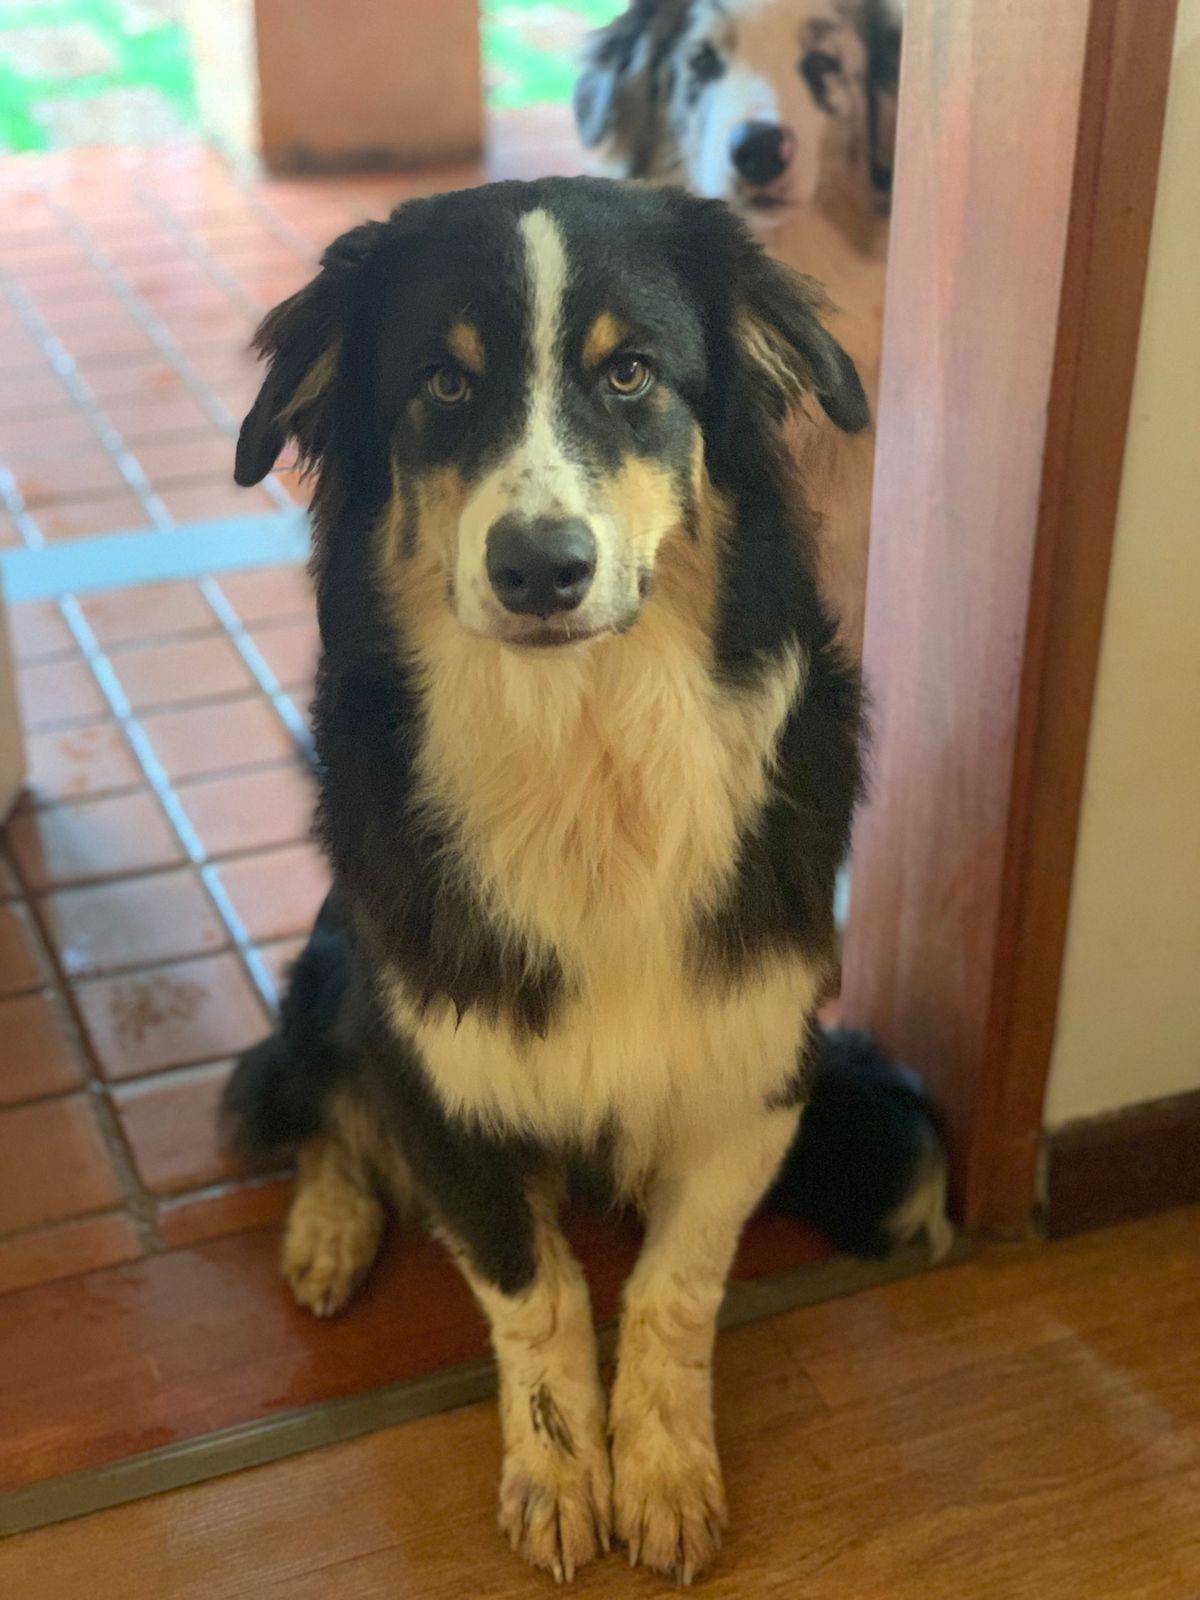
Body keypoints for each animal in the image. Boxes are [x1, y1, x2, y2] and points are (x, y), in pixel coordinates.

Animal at [222, 176, 940, 1585]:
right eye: (444, 386)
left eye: (631, 373)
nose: (542, 566)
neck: (585, 746)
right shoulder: (444, 1072)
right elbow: (537, 1294)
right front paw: (560, 1479)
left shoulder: (752, 1062)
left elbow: (673, 1287)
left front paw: (661, 1472)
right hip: (339, 961)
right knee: (324, 1104)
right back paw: (329, 1231)